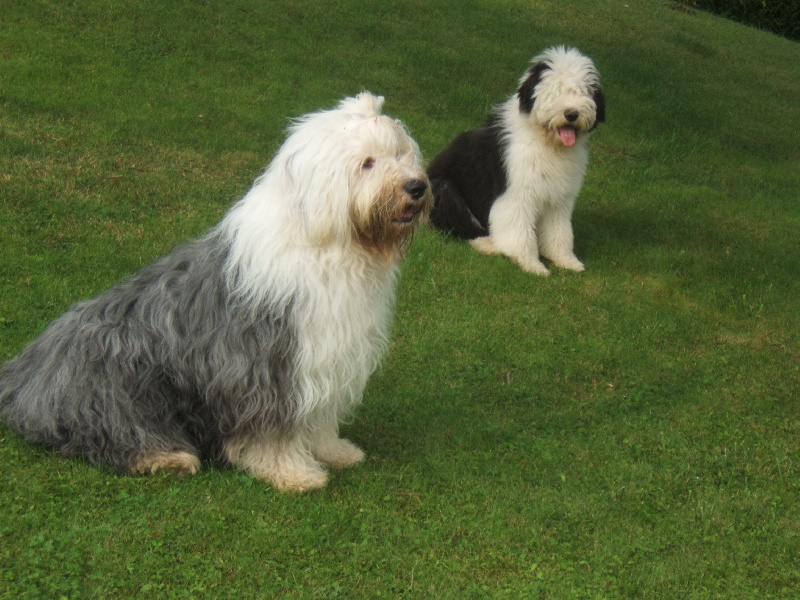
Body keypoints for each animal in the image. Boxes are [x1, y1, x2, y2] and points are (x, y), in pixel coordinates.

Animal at [432, 48, 608, 276]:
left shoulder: (558, 200)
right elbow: (520, 233)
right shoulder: (517, 195)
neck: (546, 142)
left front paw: (566, 260)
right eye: (556, 91)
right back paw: (487, 244)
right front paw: (532, 264)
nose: (571, 114)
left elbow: (559, 232)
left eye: (584, 91)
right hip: (443, 190)